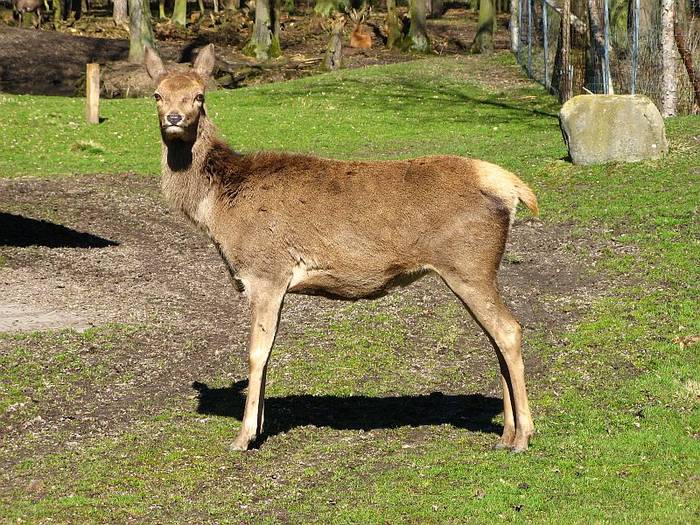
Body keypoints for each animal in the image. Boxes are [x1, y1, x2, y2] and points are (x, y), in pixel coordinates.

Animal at [142, 45, 536, 452]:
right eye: (156, 94)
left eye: (199, 96)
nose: (174, 119)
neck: (217, 209)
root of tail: (513, 188)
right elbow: (269, 352)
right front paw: (261, 425)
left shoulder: (265, 272)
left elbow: (256, 352)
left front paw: (244, 436)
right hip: (474, 269)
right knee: (496, 337)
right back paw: (506, 434)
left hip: (469, 265)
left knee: (509, 331)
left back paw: (523, 436)